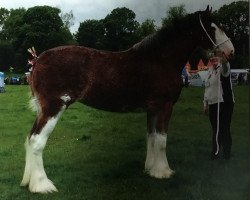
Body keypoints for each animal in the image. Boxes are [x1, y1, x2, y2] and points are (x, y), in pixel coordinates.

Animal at [20, 6, 233, 194]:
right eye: (213, 27)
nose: (230, 51)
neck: (160, 59)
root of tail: (38, 59)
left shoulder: (152, 109)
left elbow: (151, 137)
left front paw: (150, 169)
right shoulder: (164, 107)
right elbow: (161, 140)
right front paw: (163, 172)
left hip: (43, 110)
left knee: (30, 138)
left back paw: (28, 182)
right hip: (53, 108)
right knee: (37, 141)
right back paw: (42, 185)